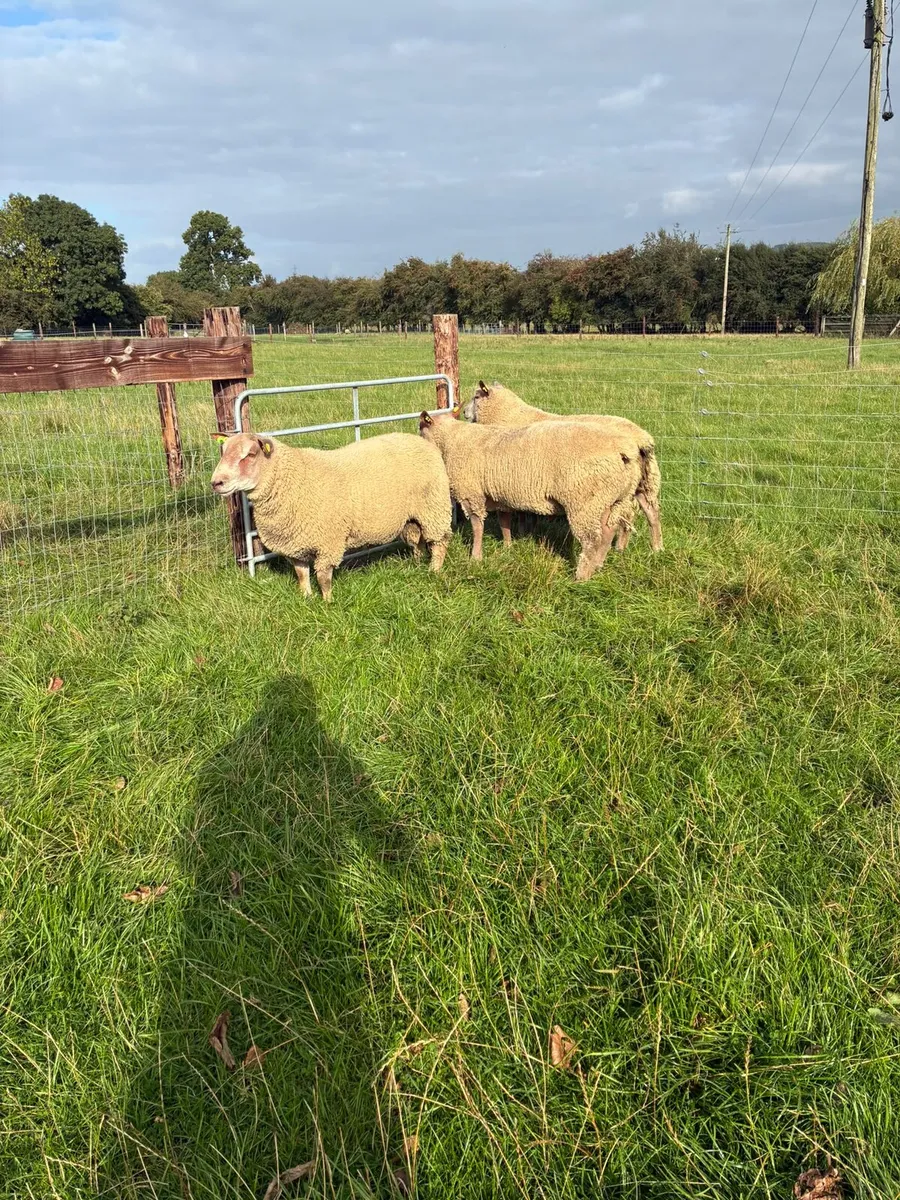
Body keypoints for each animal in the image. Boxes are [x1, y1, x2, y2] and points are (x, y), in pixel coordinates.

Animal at [211, 431, 453, 601]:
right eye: (223, 452)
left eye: (250, 454)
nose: (216, 482)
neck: (293, 480)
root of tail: (423, 441)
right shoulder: (294, 543)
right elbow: (301, 574)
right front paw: (306, 598)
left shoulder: (328, 542)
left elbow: (323, 577)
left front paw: (328, 603)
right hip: (412, 516)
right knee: (416, 539)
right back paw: (417, 562)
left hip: (434, 508)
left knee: (439, 542)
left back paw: (434, 570)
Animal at [419, 410, 642, 581]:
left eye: (420, 429)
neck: (451, 439)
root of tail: (623, 452)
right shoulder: (500, 496)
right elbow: (504, 522)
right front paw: (508, 547)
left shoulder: (471, 494)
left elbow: (477, 527)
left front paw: (476, 557)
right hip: (609, 500)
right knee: (608, 531)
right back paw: (598, 565)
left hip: (584, 501)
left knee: (591, 540)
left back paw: (581, 577)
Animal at [463, 381, 662, 552]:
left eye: (476, 396)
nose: (464, 412)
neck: (509, 414)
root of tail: (642, 438)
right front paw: (527, 532)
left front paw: (522, 532)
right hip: (645, 483)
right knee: (651, 512)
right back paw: (656, 548)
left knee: (627, 516)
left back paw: (620, 547)